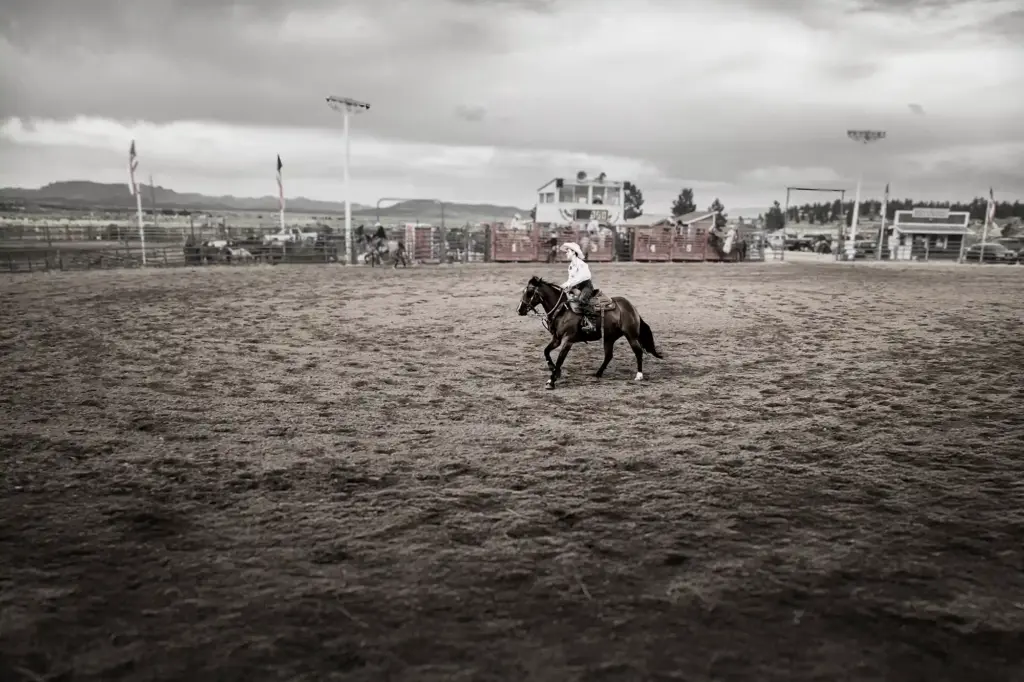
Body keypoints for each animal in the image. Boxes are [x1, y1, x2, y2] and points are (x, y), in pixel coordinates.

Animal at [517, 276, 662, 389]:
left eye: (530, 292)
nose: (519, 310)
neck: (563, 310)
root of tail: (632, 308)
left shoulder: (568, 340)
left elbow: (560, 360)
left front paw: (551, 381)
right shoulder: (556, 339)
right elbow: (546, 352)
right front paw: (554, 371)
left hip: (631, 336)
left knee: (638, 352)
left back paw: (639, 375)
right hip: (609, 337)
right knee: (608, 355)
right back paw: (598, 373)